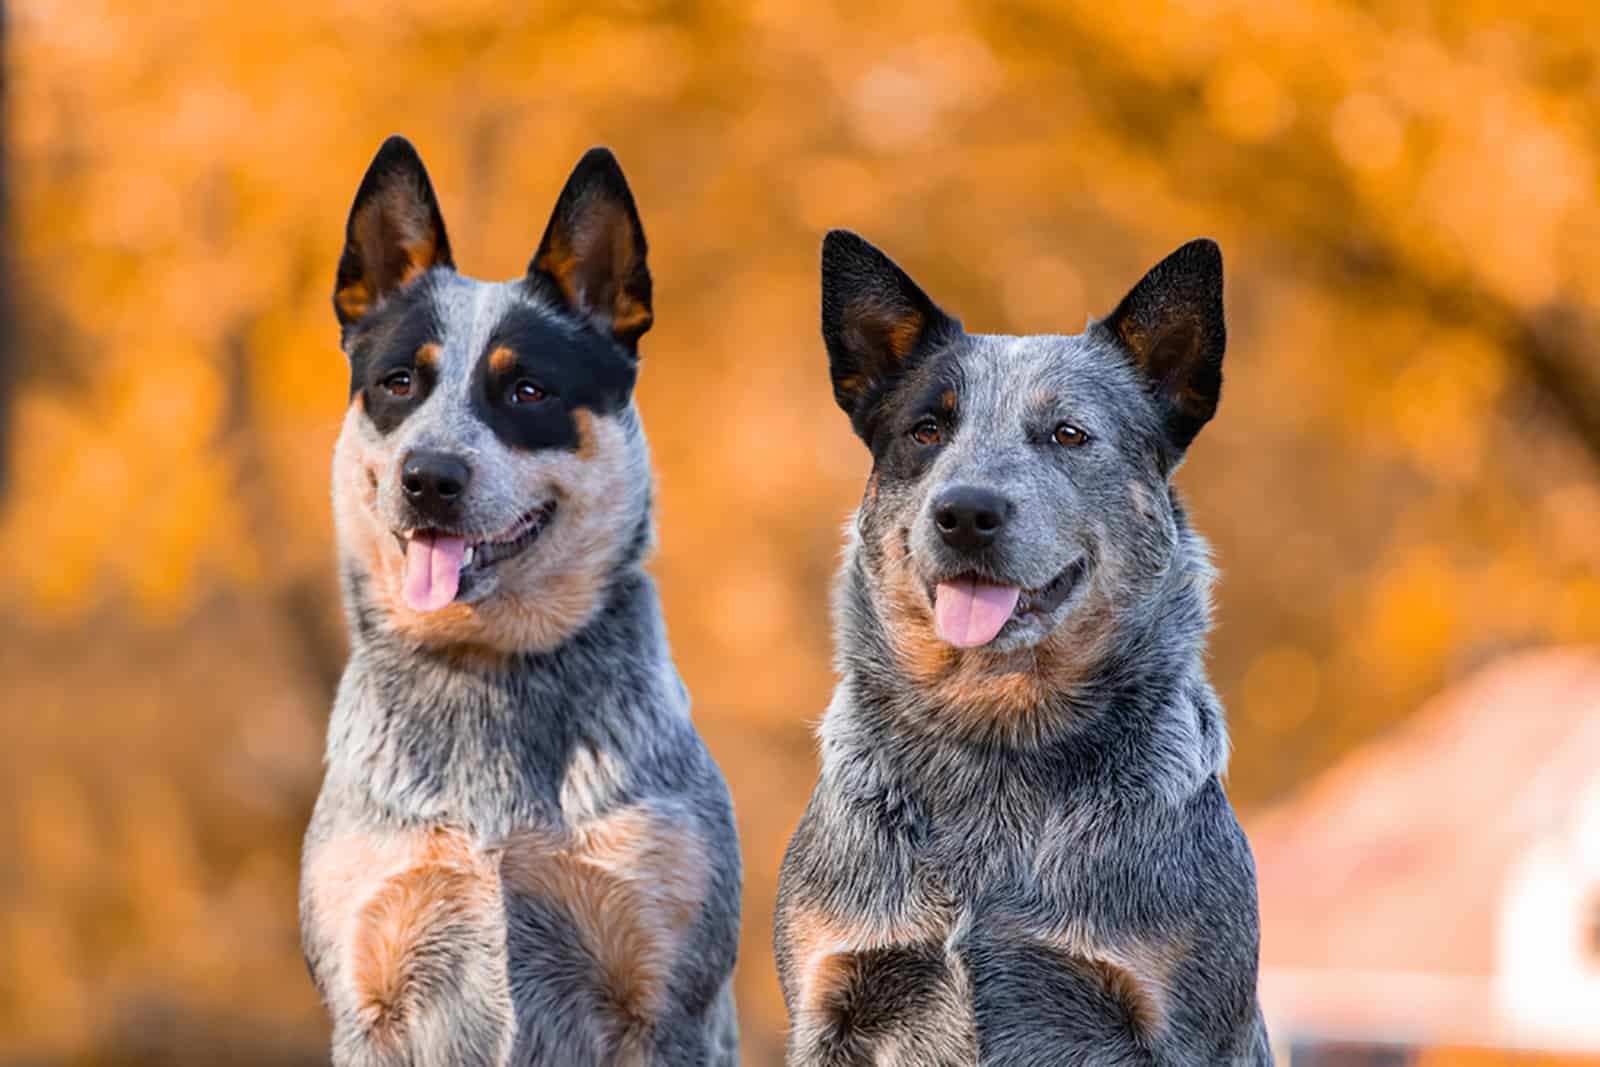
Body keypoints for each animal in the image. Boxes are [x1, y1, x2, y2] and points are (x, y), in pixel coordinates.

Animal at [300, 137, 742, 1062]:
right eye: (400, 381)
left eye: (528, 391)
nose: (429, 476)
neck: (487, 668)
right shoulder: (369, 991)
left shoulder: (664, 998)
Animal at [774, 230, 1273, 1062]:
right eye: (927, 429)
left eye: (1068, 434)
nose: (965, 511)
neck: (993, 739)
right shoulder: (832, 995)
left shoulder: (1181, 1022)